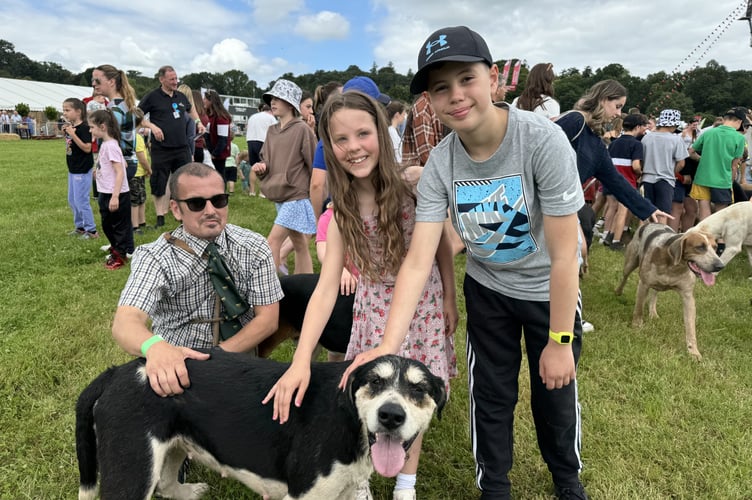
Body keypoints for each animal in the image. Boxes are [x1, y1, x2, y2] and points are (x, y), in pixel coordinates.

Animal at [76, 350, 446, 498]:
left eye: (419, 390)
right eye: (374, 382)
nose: (391, 415)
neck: (349, 419)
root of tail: (118, 372)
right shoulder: (304, 496)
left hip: (171, 447)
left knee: (166, 486)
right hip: (132, 470)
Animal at [616, 224, 724, 360]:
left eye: (715, 248)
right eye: (700, 247)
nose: (720, 266)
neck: (674, 266)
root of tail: (649, 223)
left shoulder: (688, 297)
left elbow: (690, 328)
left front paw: (693, 351)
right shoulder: (643, 284)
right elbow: (638, 310)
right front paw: (636, 326)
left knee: (654, 294)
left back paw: (653, 312)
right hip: (630, 262)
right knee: (624, 276)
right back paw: (618, 291)